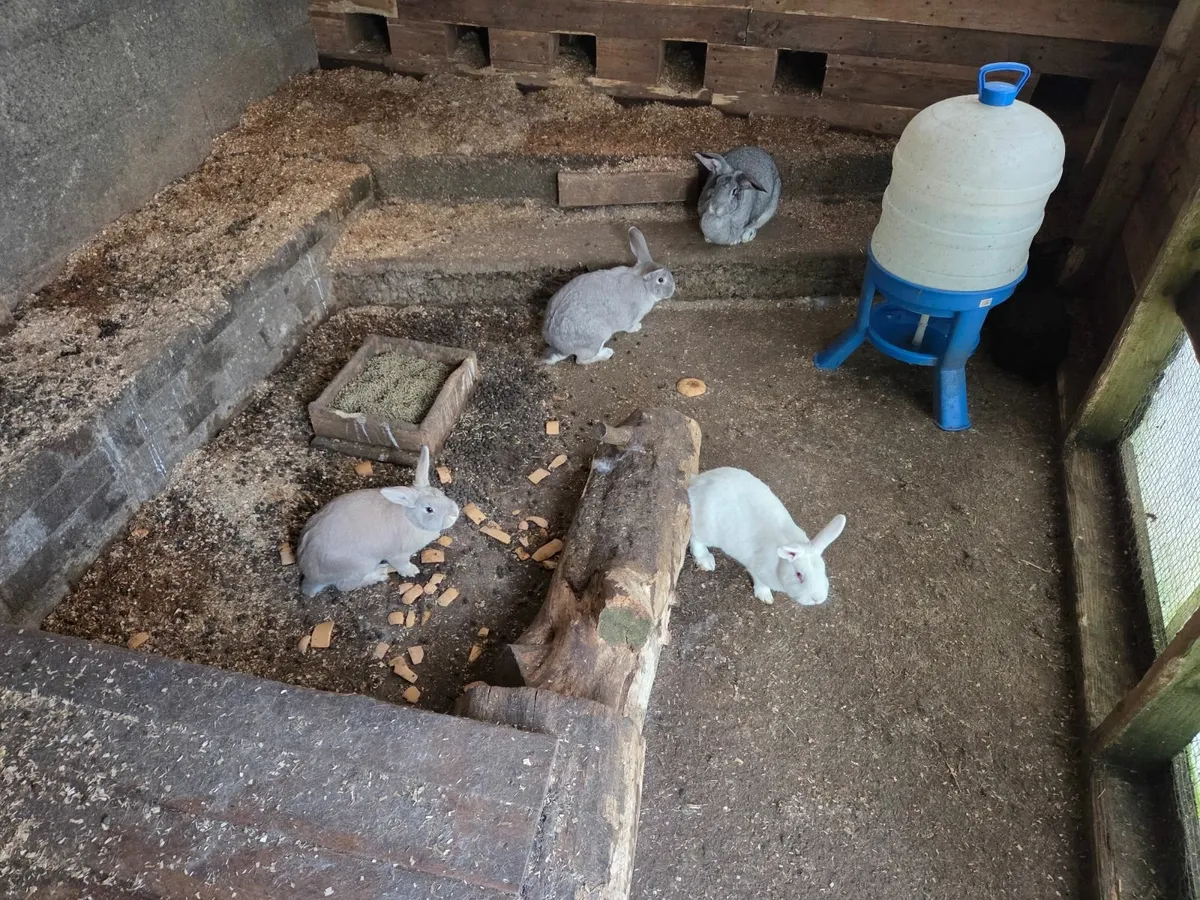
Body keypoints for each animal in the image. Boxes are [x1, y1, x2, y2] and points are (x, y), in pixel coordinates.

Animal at [297, 445, 459, 597]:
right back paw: (378, 574)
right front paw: (412, 571)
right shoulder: (398, 555)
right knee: (345, 586)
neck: (410, 518)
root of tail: (310, 575)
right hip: (360, 566)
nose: (454, 513)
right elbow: (402, 565)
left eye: (440, 493)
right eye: (429, 509)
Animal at [542, 225, 675, 365]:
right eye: (661, 280)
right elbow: (629, 327)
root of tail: (559, 346)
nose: (672, 290)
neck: (644, 284)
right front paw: (637, 327)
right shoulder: (632, 317)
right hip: (597, 338)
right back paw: (607, 353)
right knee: (581, 360)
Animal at [688, 467, 846, 606]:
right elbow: (761, 583)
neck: (779, 563)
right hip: (706, 528)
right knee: (695, 539)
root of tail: (696, 483)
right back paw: (705, 561)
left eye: (823, 570)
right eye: (799, 575)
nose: (817, 598)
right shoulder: (758, 570)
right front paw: (765, 596)